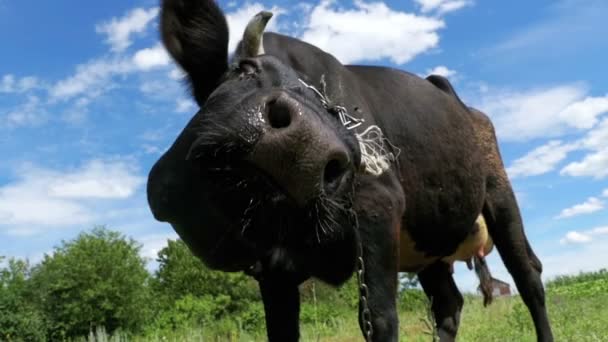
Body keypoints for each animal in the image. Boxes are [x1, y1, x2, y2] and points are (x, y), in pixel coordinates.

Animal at [148, 1, 556, 340]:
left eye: (334, 113)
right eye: (245, 71)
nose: (305, 144)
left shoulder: (377, 208)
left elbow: (378, 317)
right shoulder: (271, 269)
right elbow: (281, 330)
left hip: (499, 194)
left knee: (528, 277)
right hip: (429, 241)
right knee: (448, 304)